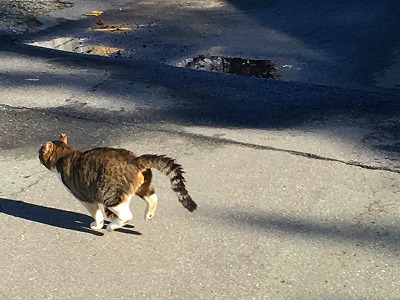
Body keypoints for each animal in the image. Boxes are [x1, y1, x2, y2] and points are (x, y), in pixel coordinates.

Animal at [38, 134, 198, 232]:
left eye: (40, 152)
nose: (38, 154)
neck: (65, 154)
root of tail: (134, 160)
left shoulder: (85, 197)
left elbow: (97, 214)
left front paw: (98, 225)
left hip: (112, 196)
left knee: (126, 216)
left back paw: (112, 227)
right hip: (141, 187)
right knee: (153, 198)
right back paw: (148, 215)